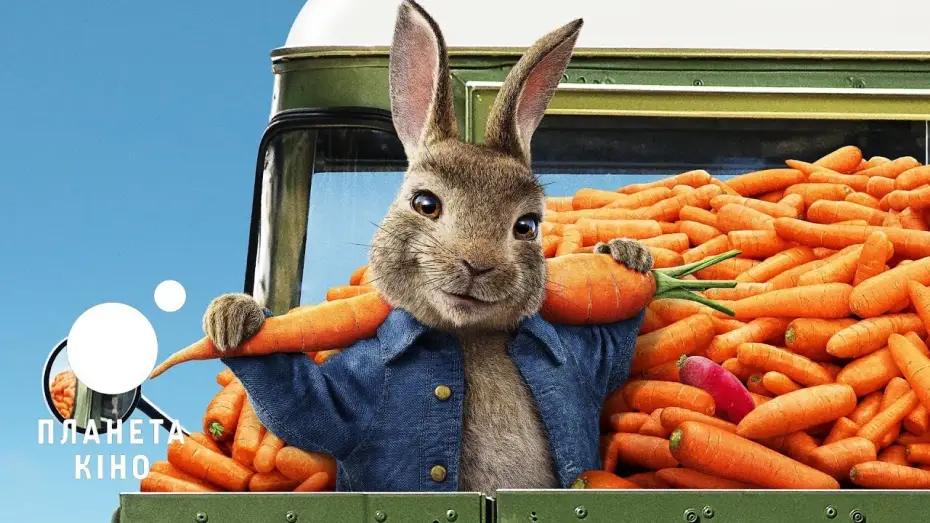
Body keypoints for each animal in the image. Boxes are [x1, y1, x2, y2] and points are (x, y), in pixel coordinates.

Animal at [205, 0, 653, 496]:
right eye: (425, 203)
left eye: (527, 226)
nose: (478, 265)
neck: (470, 336)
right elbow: (307, 406)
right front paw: (233, 317)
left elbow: (611, 351)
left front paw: (627, 254)